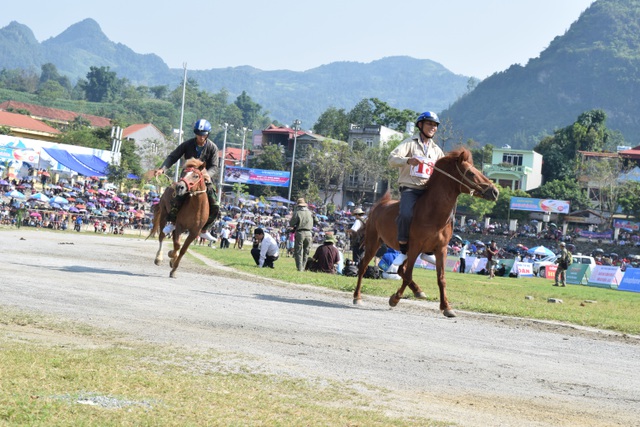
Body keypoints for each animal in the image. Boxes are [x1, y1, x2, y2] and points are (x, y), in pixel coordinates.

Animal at [356, 147, 500, 318]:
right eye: (471, 173)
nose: (495, 192)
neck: (433, 213)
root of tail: (379, 205)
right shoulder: (415, 247)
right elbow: (408, 275)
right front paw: (395, 298)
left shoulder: (440, 250)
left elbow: (441, 278)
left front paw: (446, 307)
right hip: (374, 243)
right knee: (364, 266)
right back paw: (357, 297)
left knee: (400, 269)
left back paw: (418, 291)